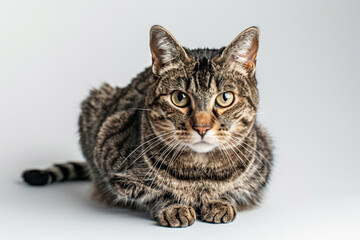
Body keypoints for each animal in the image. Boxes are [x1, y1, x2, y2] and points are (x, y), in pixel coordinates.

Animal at [22, 25, 272, 228]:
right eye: (179, 98)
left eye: (225, 98)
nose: (202, 127)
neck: (199, 171)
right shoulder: (115, 168)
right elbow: (154, 194)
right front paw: (173, 207)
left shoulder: (261, 166)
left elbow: (234, 190)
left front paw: (219, 201)